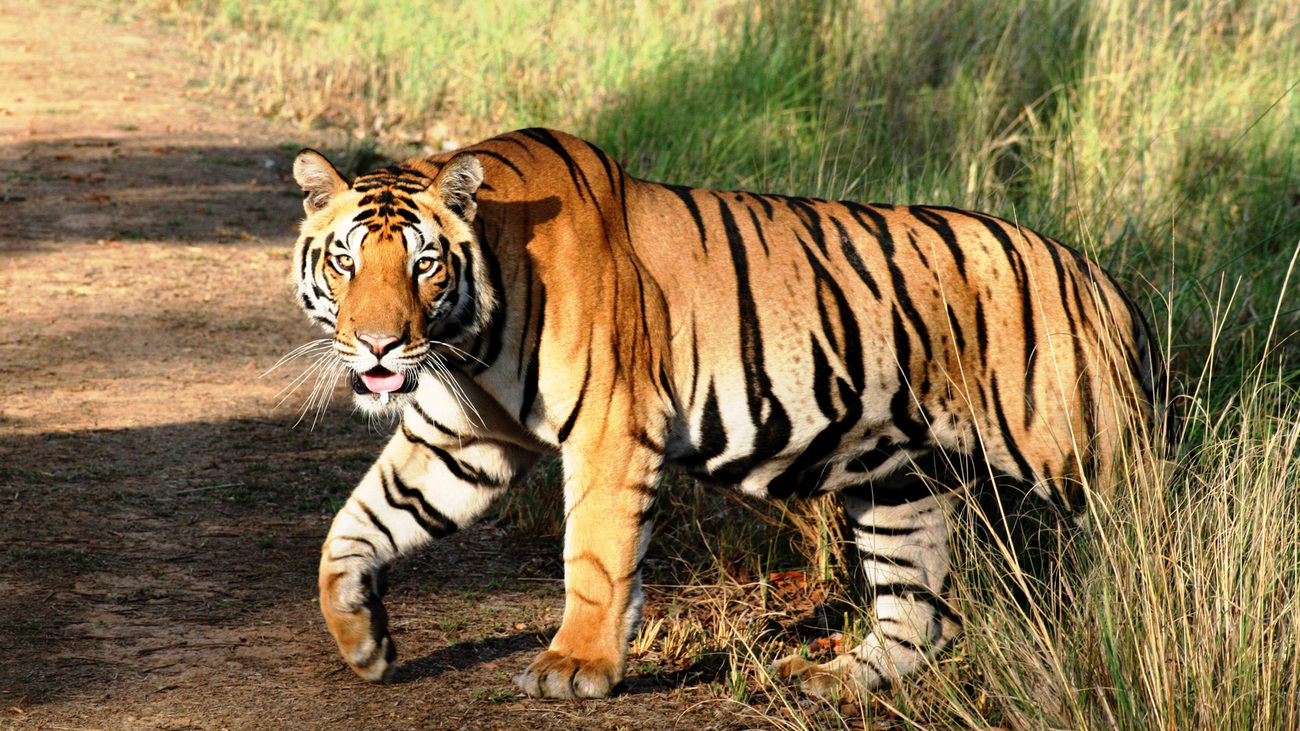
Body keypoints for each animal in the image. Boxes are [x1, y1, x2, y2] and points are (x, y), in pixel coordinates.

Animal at [289, 128, 1164, 697]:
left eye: (423, 265)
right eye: (345, 261)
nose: (376, 345)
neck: (465, 338)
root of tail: (1106, 281)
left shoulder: (610, 428)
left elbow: (595, 554)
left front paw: (575, 667)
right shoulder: (462, 439)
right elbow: (356, 526)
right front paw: (363, 641)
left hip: (1082, 455)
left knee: (1146, 534)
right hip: (899, 482)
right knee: (919, 613)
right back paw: (830, 679)